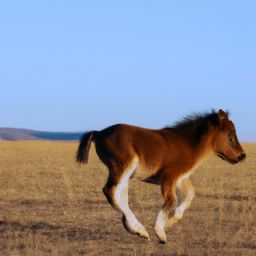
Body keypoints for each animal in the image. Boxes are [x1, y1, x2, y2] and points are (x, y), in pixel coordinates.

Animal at [76, 109, 246, 243]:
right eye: (230, 136)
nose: (242, 156)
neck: (189, 144)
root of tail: (99, 133)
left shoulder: (181, 179)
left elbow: (190, 195)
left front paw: (170, 223)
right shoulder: (169, 177)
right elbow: (171, 200)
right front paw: (161, 233)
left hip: (126, 173)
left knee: (121, 196)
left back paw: (136, 230)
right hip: (123, 166)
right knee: (110, 191)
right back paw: (139, 229)